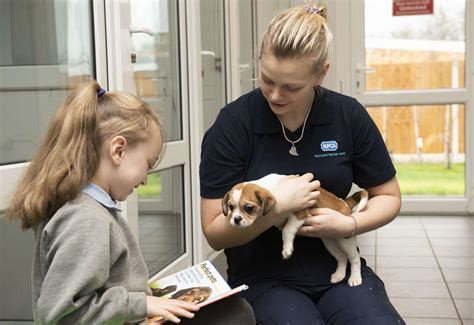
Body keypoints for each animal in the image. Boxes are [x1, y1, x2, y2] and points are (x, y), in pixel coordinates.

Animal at [224, 173, 368, 284]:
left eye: (249, 208)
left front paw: (287, 249)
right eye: (231, 207)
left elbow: (287, 231)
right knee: (342, 258)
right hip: (329, 242)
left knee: (354, 258)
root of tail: (344, 204)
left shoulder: (299, 214)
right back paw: (339, 275)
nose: (236, 219)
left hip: (345, 240)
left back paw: (355, 278)